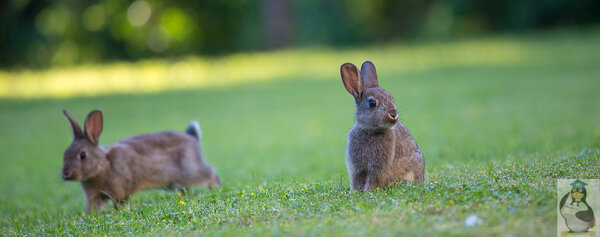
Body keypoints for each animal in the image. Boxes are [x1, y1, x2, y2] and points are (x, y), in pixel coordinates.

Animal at [61, 109, 220, 213]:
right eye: (65, 153)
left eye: (82, 155)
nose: (66, 174)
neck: (102, 165)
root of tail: (193, 137)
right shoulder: (94, 197)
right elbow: (93, 208)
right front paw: (88, 215)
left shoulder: (121, 191)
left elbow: (120, 203)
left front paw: (118, 213)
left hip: (191, 171)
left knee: (210, 174)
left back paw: (215, 189)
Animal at [340, 61, 424, 191]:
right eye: (372, 103)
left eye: (391, 98)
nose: (393, 114)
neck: (371, 131)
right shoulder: (357, 167)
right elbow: (357, 179)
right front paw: (355, 192)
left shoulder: (379, 167)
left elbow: (374, 179)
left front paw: (367, 191)